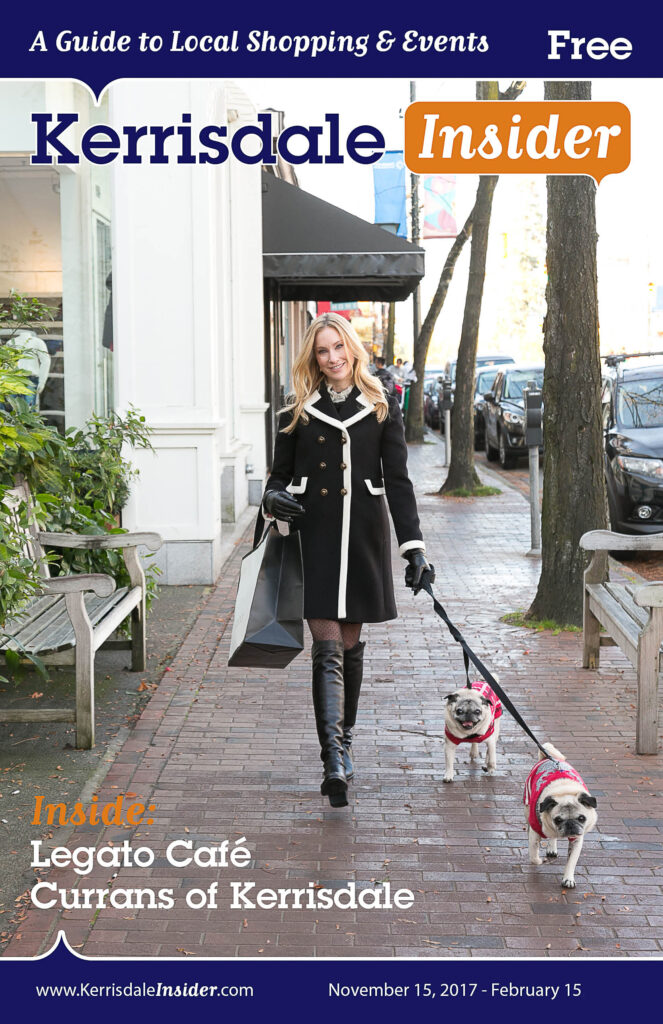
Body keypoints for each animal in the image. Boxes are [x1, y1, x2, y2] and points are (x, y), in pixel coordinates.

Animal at [524, 743, 598, 889]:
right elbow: (534, 855)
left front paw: (568, 879)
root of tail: (547, 757)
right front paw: (539, 860)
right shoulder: (535, 832)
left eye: (582, 818)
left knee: (553, 837)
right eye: (558, 820)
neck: (564, 792)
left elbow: (571, 861)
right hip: (527, 806)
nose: (570, 824)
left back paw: (552, 847)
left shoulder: (576, 840)